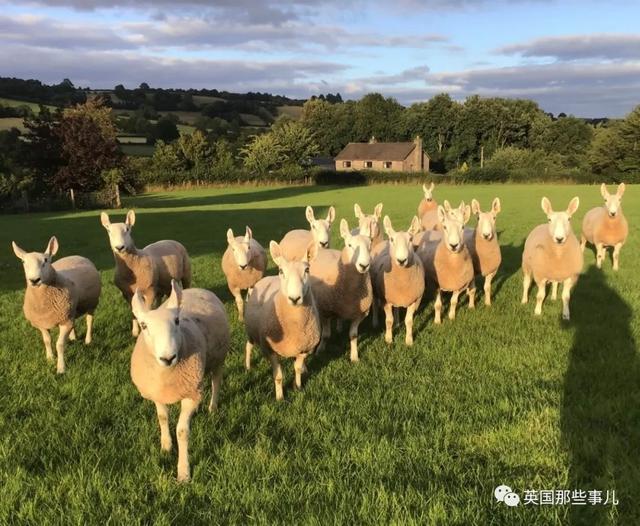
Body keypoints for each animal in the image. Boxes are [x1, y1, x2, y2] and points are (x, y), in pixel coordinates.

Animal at [11, 235, 100, 376]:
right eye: (23, 262)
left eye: (46, 260)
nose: (34, 280)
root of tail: (76, 255)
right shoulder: (43, 322)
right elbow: (47, 341)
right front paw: (50, 358)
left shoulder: (64, 321)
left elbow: (60, 345)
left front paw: (61, 368)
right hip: (70, 310)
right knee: (74, 322)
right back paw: (73, 337)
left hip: (91, 303)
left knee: (89, 320)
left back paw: (88, 340)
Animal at [130, 282, 230, 484]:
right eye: (143, 325)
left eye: (177, 321)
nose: (168, 358)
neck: (167, 375)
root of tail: (197, 289)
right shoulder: (158, 392)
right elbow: (162, 418)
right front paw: (166, 446)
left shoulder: (189, 395)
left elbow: (182, 431)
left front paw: (183, 472)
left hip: (218, 358)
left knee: (216, 381)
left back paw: (212, 407)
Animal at [246, 242, 322, 400]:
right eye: (281, 271)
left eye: (307, 270)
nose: (294, 298)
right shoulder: (270, 350)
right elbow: (279, 376)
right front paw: (280, 397)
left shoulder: (304, 348)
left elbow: (297, 368)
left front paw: (297, 386)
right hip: (251, 332)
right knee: (248, 346)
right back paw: (248, 366)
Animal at [310, 219, 376, 364]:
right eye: (349, 245)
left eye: (370, 246)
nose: (364, 265)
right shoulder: (325, 311)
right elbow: (326, 335)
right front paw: (320, 350)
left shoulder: (360, 313)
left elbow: (353, 335)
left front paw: (354, 356)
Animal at [370, 216, 424, 346]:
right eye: (392, 239)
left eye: (411, 239)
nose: (401, 260)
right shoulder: (386, 301)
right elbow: (389, 321)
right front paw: (389, 339)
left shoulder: (413, 300)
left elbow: (409, 321)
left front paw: (409, 340)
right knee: (374, 304)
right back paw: (375, 322)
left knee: (397, 309)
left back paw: (398, 322)